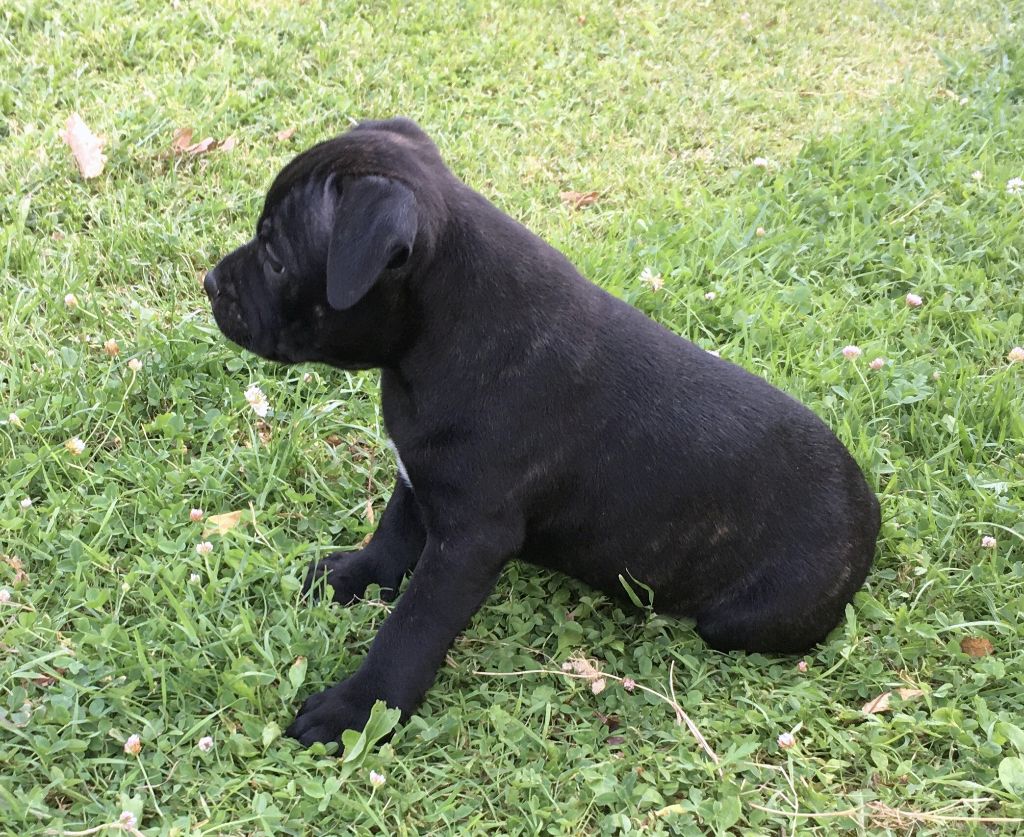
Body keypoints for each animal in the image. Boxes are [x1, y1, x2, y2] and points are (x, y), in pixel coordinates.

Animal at [204, 117, 880, 747]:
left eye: (276, 257)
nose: (211, 283)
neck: (437, 334)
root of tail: (868, 510)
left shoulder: (471, 541)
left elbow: (412, 627)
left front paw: (359, 709)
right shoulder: (417, 473)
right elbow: (394, 532)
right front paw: (353, 577)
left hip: (743, 618)